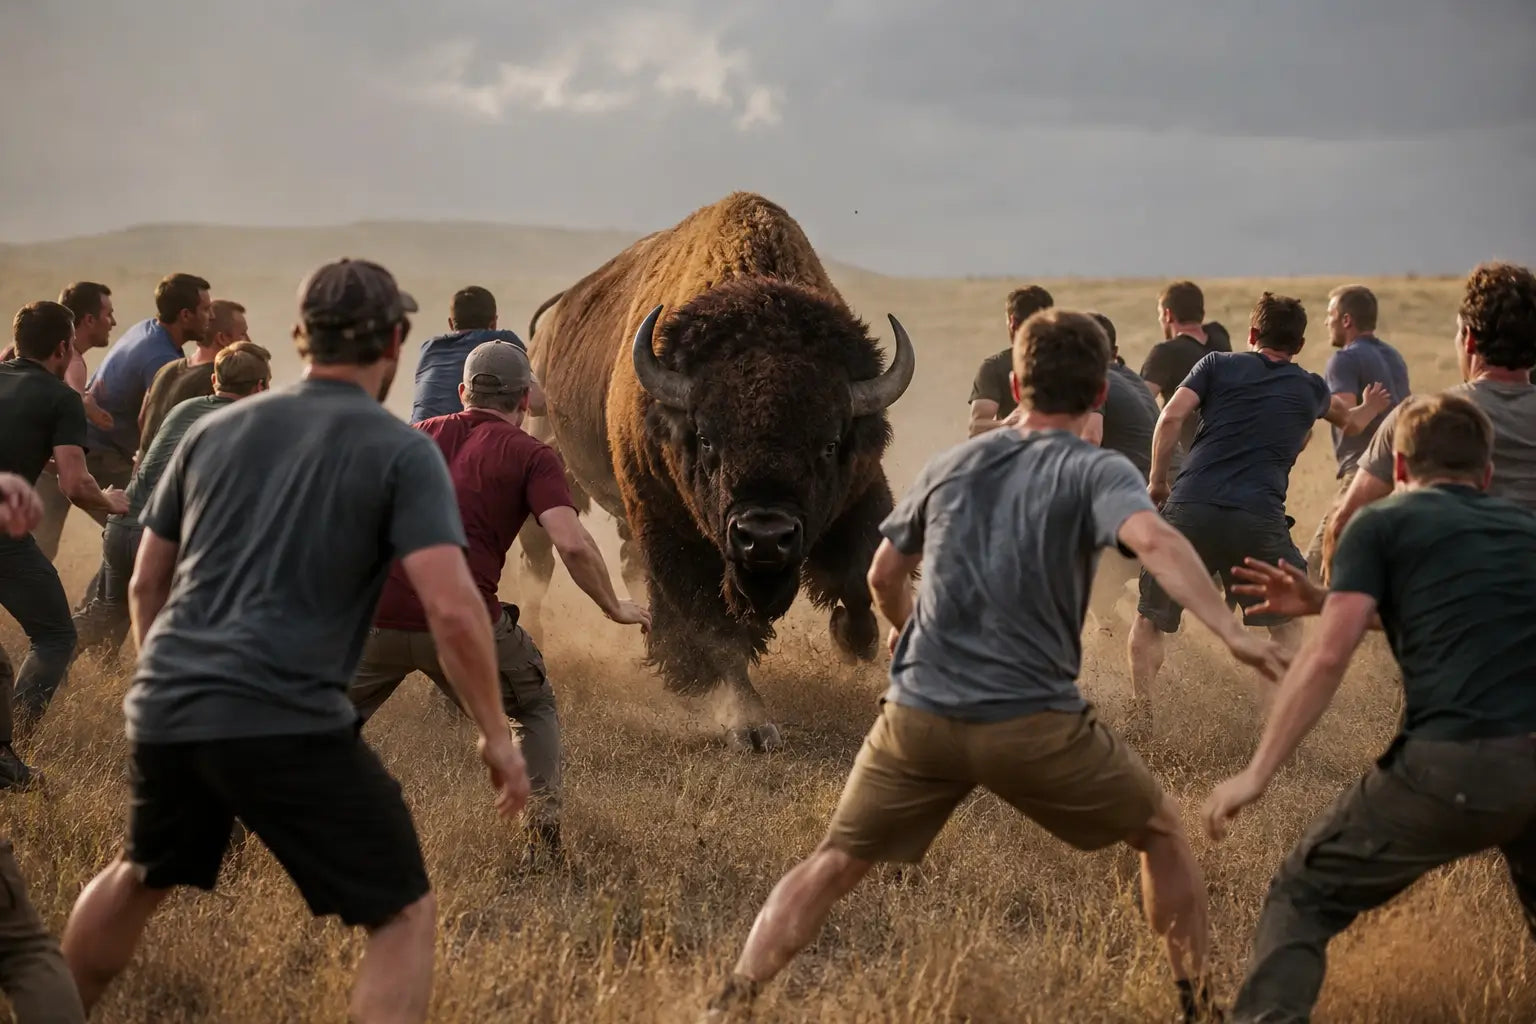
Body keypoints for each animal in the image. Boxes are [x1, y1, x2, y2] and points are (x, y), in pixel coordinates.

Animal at [519, 192, 914, 749]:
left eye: (830, 443)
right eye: (707, 438)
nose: (765, 537)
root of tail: (548, 329)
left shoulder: (859, 493)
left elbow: (857, 575)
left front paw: (855, 641)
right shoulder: (674, 530)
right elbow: (716, 630)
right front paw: (749, 724)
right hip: (558, 468)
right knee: (541, 560)